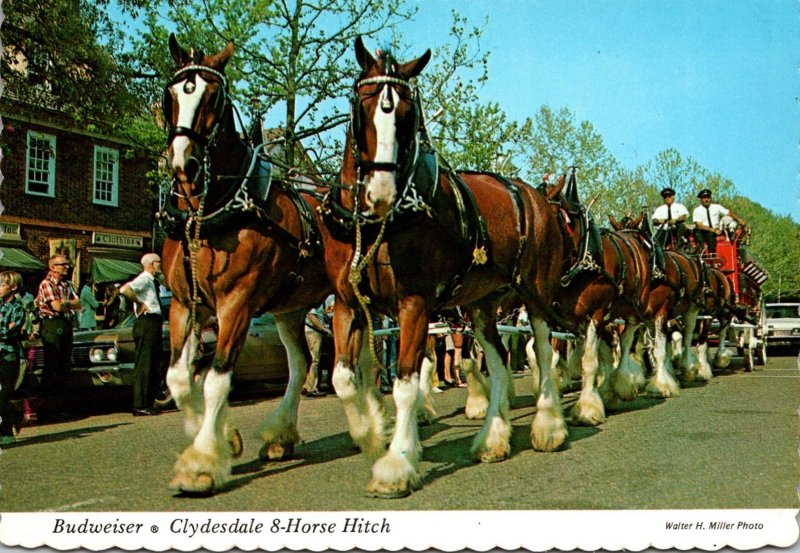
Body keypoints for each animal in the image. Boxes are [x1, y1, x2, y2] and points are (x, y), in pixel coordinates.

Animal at [159, 35, 328, 492]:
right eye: (170, 94)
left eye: (213, 96)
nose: (183, 164)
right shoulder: (185, 304)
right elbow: (180, 378)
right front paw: (224, 438)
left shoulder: (236, 304)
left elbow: (216, 380)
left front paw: (201, 462)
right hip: (291, 309)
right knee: (301, 363)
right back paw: (280, 435)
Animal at [318, 37, 564, 496]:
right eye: (362, 105)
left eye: (407, 115)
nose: (381, 194)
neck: (376, 225)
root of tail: (535, 196)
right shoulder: (347, 302)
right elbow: (344, 380)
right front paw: (372, 434)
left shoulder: (414, 304)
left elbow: (405, 385)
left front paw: (396, 463)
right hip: (481, 306)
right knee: (499, 361)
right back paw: (492, 438)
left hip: (535, 295)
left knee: (542, 350)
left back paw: (548, 426)